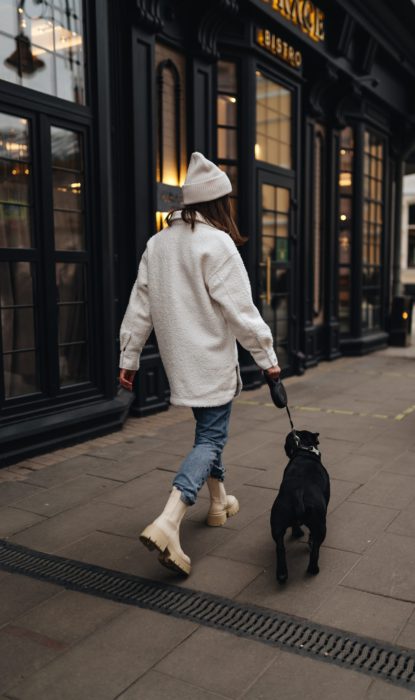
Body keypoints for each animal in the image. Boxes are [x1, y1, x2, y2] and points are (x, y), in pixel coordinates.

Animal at [270, 430, 332, 584]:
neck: (305, 450)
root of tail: (298, 492)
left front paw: (297, 533)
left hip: (277, 522)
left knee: (280, 548)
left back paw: (282, 575)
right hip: (321, 527)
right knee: (315, 549)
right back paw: (313, 569)